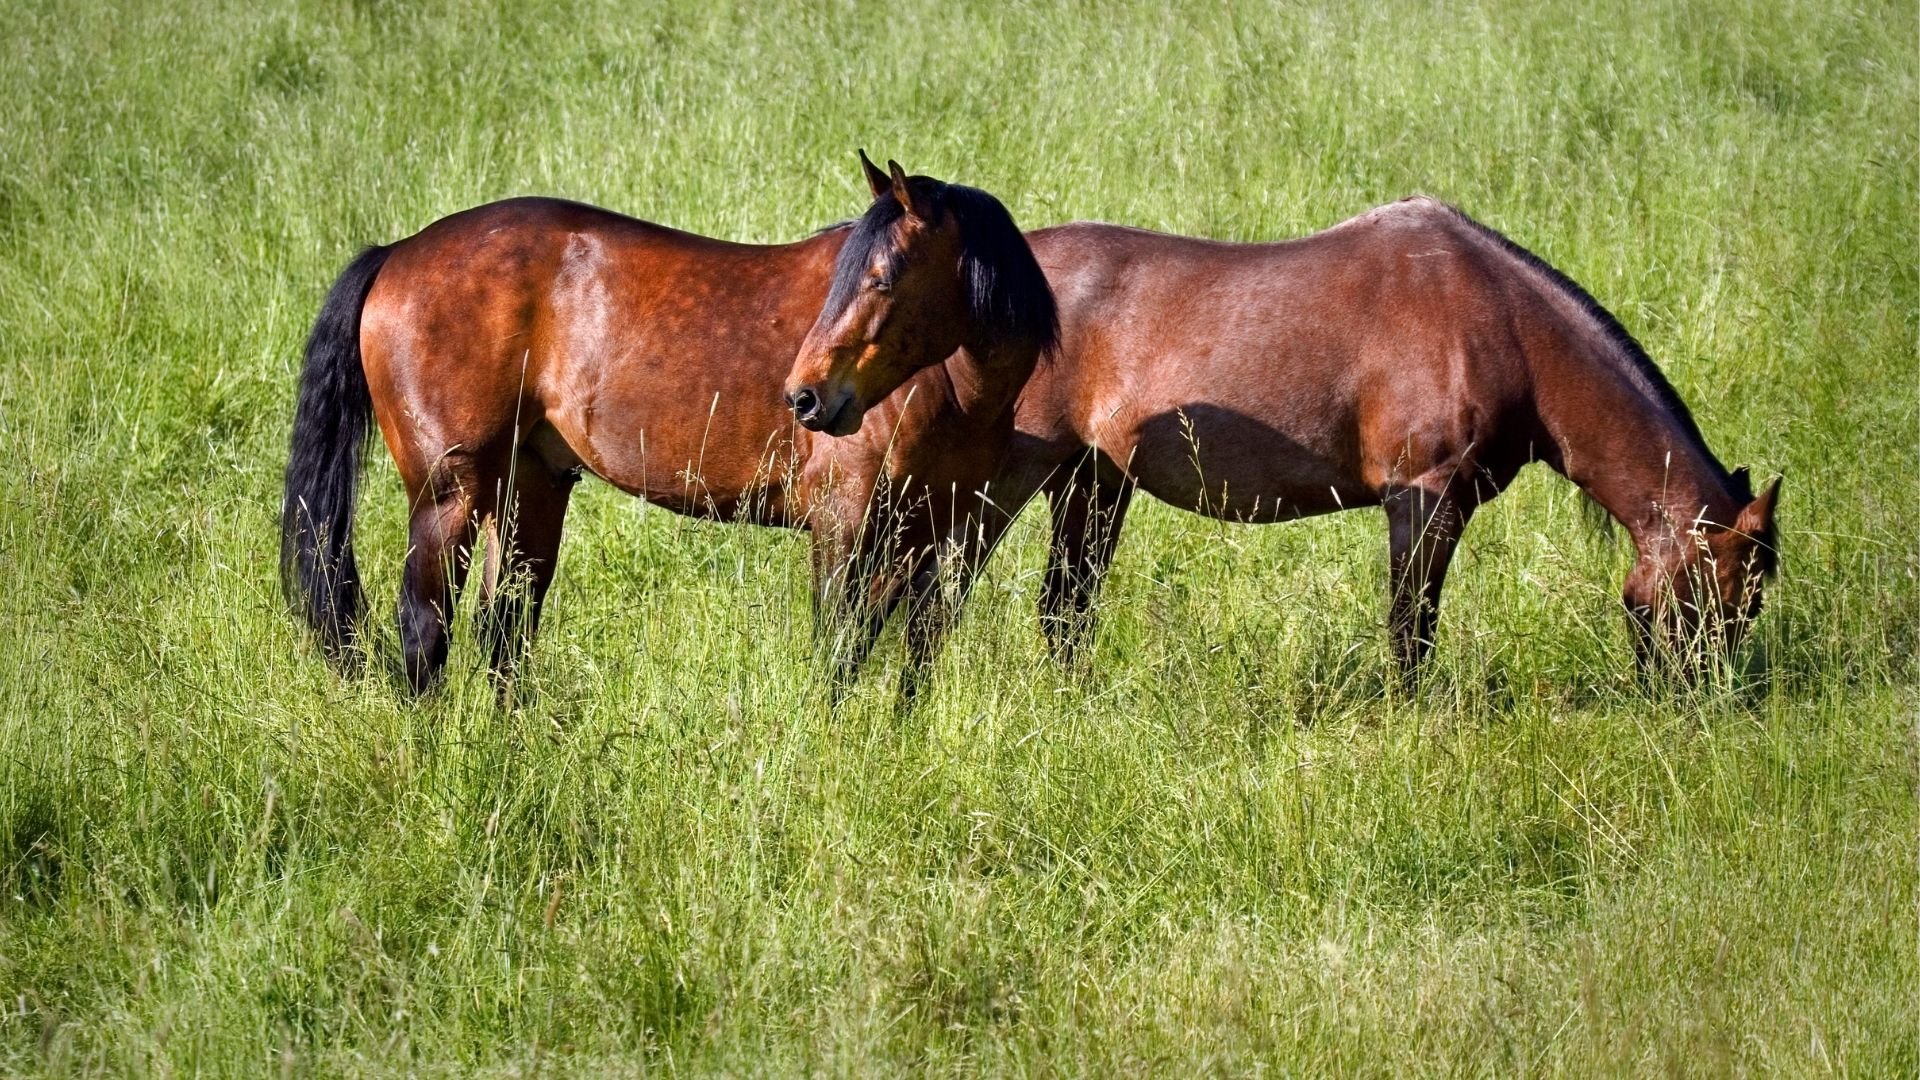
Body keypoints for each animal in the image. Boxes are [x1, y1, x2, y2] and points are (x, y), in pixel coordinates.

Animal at [280, 153, 1059, 687]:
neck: (950, 389)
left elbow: (913, 667)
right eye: (853, 275)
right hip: (451, 495)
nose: (805, 397)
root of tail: (396, 254)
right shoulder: (844, 530)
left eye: (883, 279)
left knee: (504, 631)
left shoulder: (930, 539)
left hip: (526, 487)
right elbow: (838, 657)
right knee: (427, 633)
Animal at [871, 197, 1781, 676]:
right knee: (935, 596)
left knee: (1063, 611)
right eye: (1730, 597)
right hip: (1012, 479)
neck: (1500, 326)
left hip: (1093, 480)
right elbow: (1411, 630)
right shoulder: (1426, 502)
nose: (1708, 702)